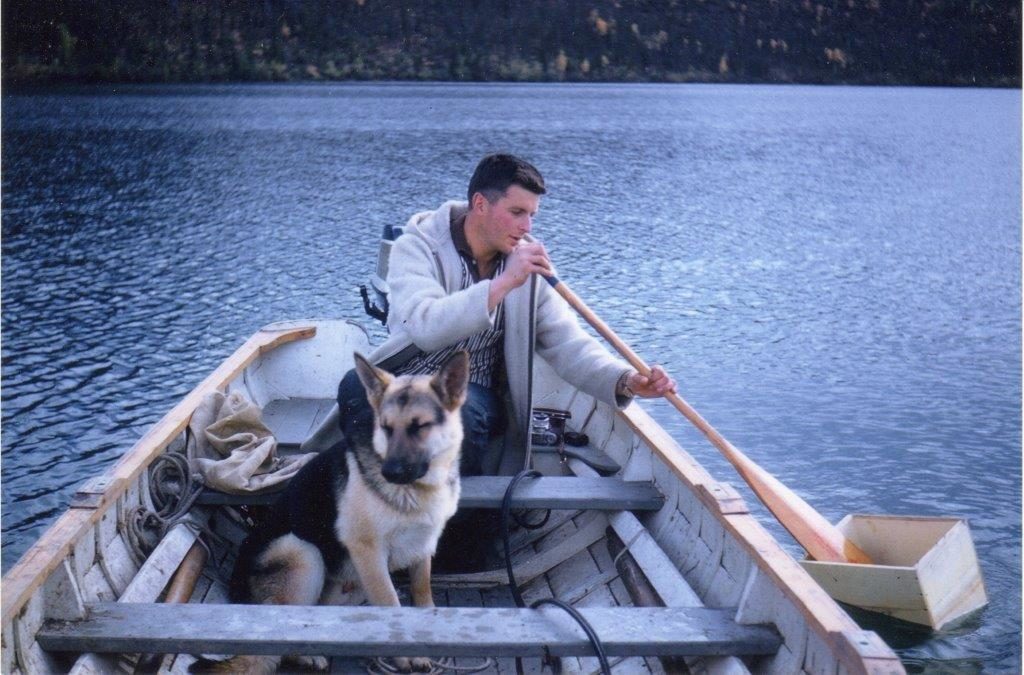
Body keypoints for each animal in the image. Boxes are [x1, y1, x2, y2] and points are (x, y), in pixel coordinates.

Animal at [191, 350, 469, 674]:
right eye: (385, 428)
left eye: (419, 426)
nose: (388, 473)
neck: (419, 487)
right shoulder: (368, 552)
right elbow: (391, 604)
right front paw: (404, 657)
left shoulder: (421, 547)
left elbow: (422, 592)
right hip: (302, 552)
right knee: (281, 635)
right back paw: (306, 656)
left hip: (354, 581)